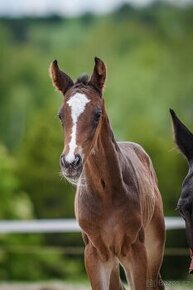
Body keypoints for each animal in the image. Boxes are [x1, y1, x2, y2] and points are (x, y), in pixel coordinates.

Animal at [49, 57, 165, 290]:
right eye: (60, 116)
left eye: (97, 114)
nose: (70, 163)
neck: (105, 194)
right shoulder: (95, 253)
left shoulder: (136, 251)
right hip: (112, 261)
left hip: (154, 249)